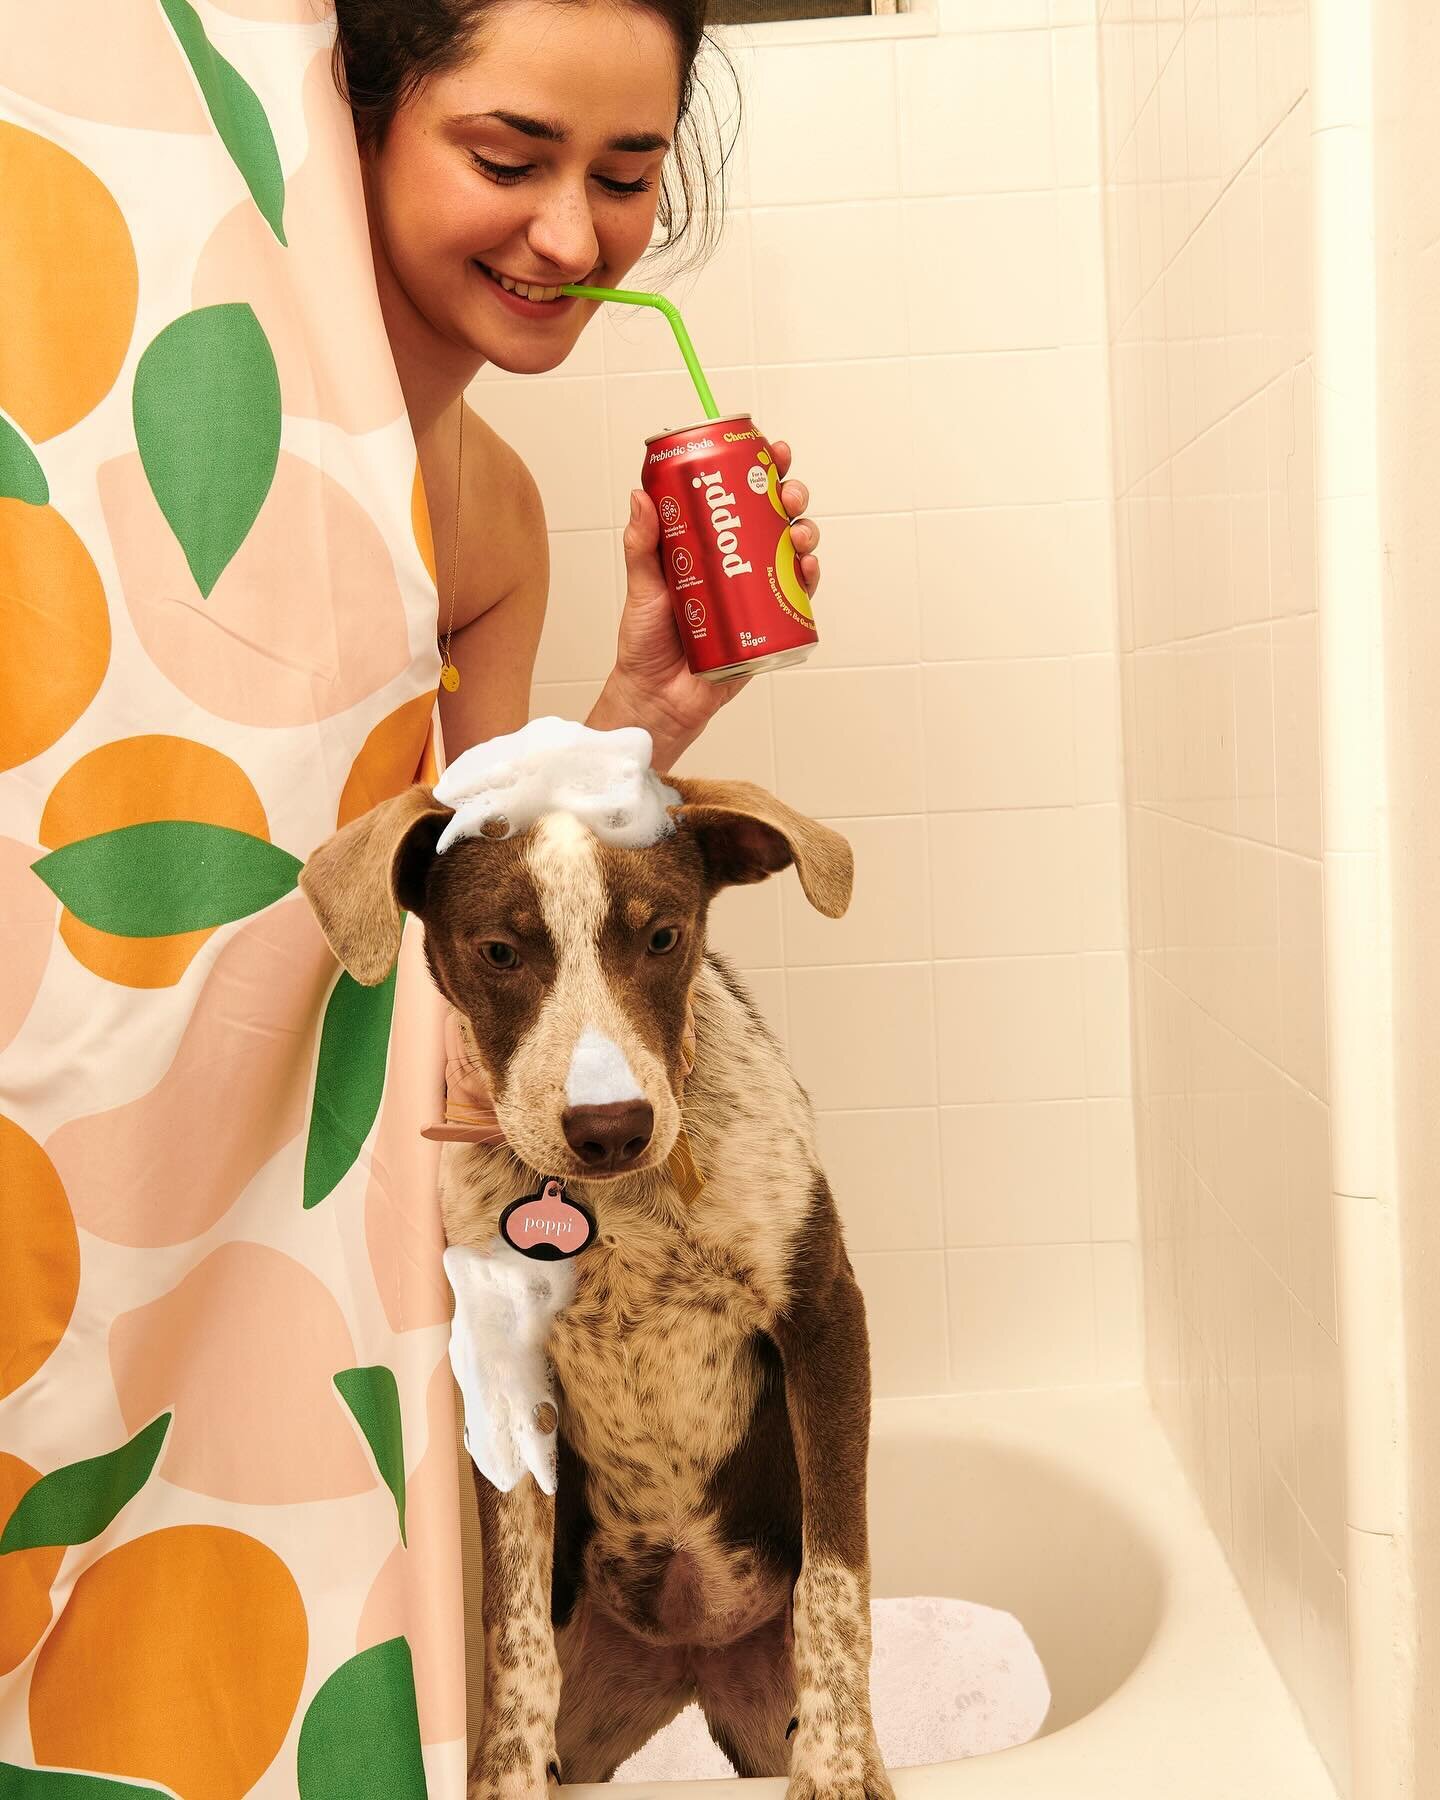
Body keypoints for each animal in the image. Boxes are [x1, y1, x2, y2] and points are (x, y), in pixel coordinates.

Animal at [298, 774, 892, 1800]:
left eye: (662, 938)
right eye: (499, 950)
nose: (611, 1127)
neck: (613, 1207)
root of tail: (691, 1658)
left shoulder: (824, 1317)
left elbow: (836, 1575)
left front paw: (839, 1760)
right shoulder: (500, 1381)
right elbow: (512, 1619)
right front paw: (503, 1774)